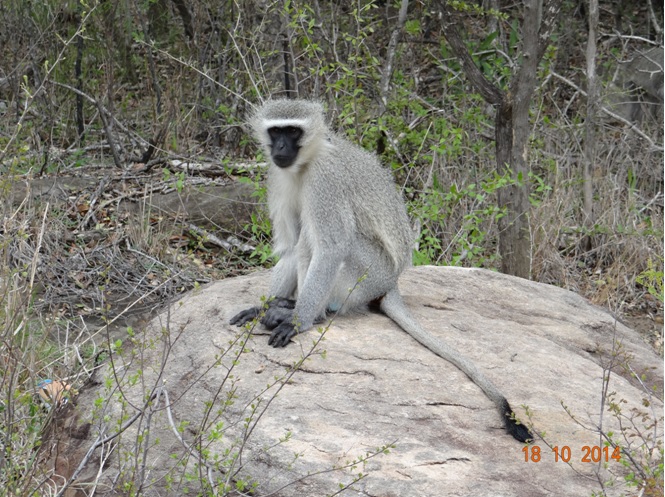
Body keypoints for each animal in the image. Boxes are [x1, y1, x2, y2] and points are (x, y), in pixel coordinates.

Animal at [231, 99, 532, 440]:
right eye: (276, 131)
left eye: (293, 131)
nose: (281, 147)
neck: (305, 165)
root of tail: (392, 282)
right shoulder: (278, 176)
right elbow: (289, 246)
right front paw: (262, 306)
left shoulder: (325, 181)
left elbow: (331, 247)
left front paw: (298, 321)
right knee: (302, 242)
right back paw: (283, 304)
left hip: (370, 273)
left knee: (324, 241)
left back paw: (309, 313)